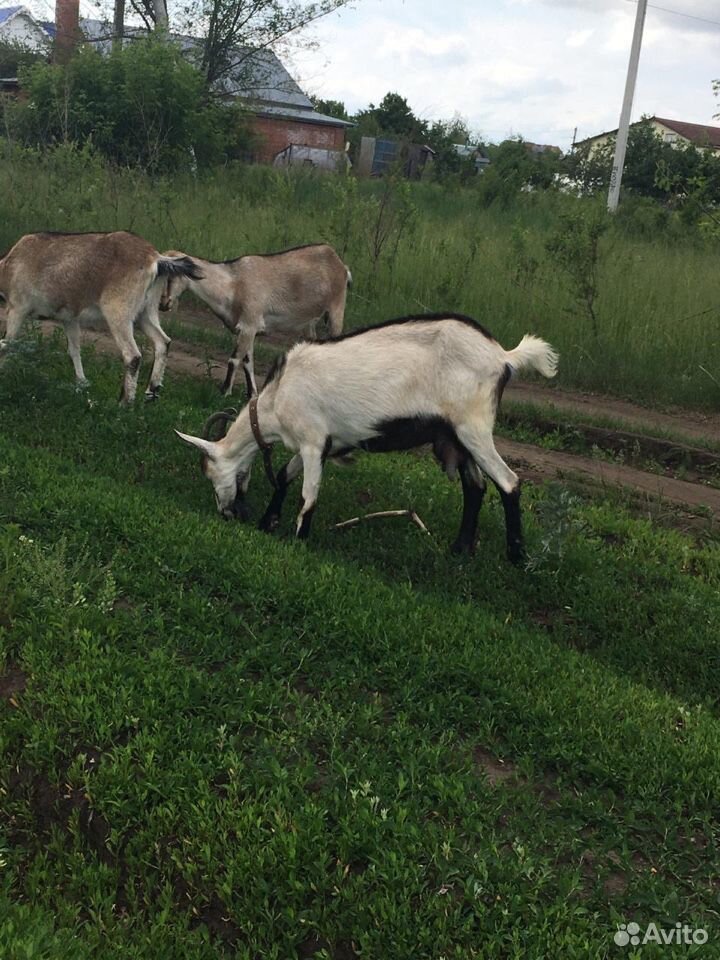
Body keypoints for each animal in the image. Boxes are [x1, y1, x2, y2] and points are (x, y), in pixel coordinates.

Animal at [0, 229, 202, 402]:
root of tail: (156, 259)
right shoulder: (70, 318)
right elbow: (74, 350)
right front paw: (82, 384)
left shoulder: (17, 308)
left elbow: (8, 343)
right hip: (147, 311)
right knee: (163, 341)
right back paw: (151, 393)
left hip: (119, 311)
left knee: (133, 355)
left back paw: (124, 403)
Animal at [163, 246, 354, 400]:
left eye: (173, 275)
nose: (163, 304)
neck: (233, 284)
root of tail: (341, 265)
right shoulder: (248, 330)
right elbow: (248, 362)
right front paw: (252, 394)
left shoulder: (249, 324)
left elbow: (234, 359)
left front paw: (224, 392)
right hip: (310, 323)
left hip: (337, 310)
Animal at [176, 312, 556, 564]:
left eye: (212, 474)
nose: (228, 513)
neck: (277, 397)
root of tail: (503, 356)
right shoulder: (320, 442)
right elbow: (284, 475)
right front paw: (268, 523)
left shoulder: (313, 441)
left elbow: (308, 495)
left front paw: (299, 540)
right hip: (456, 438)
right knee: (475, 487)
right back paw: (459, 549)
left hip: (473, 428)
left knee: (508, 482)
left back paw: (517, 556)